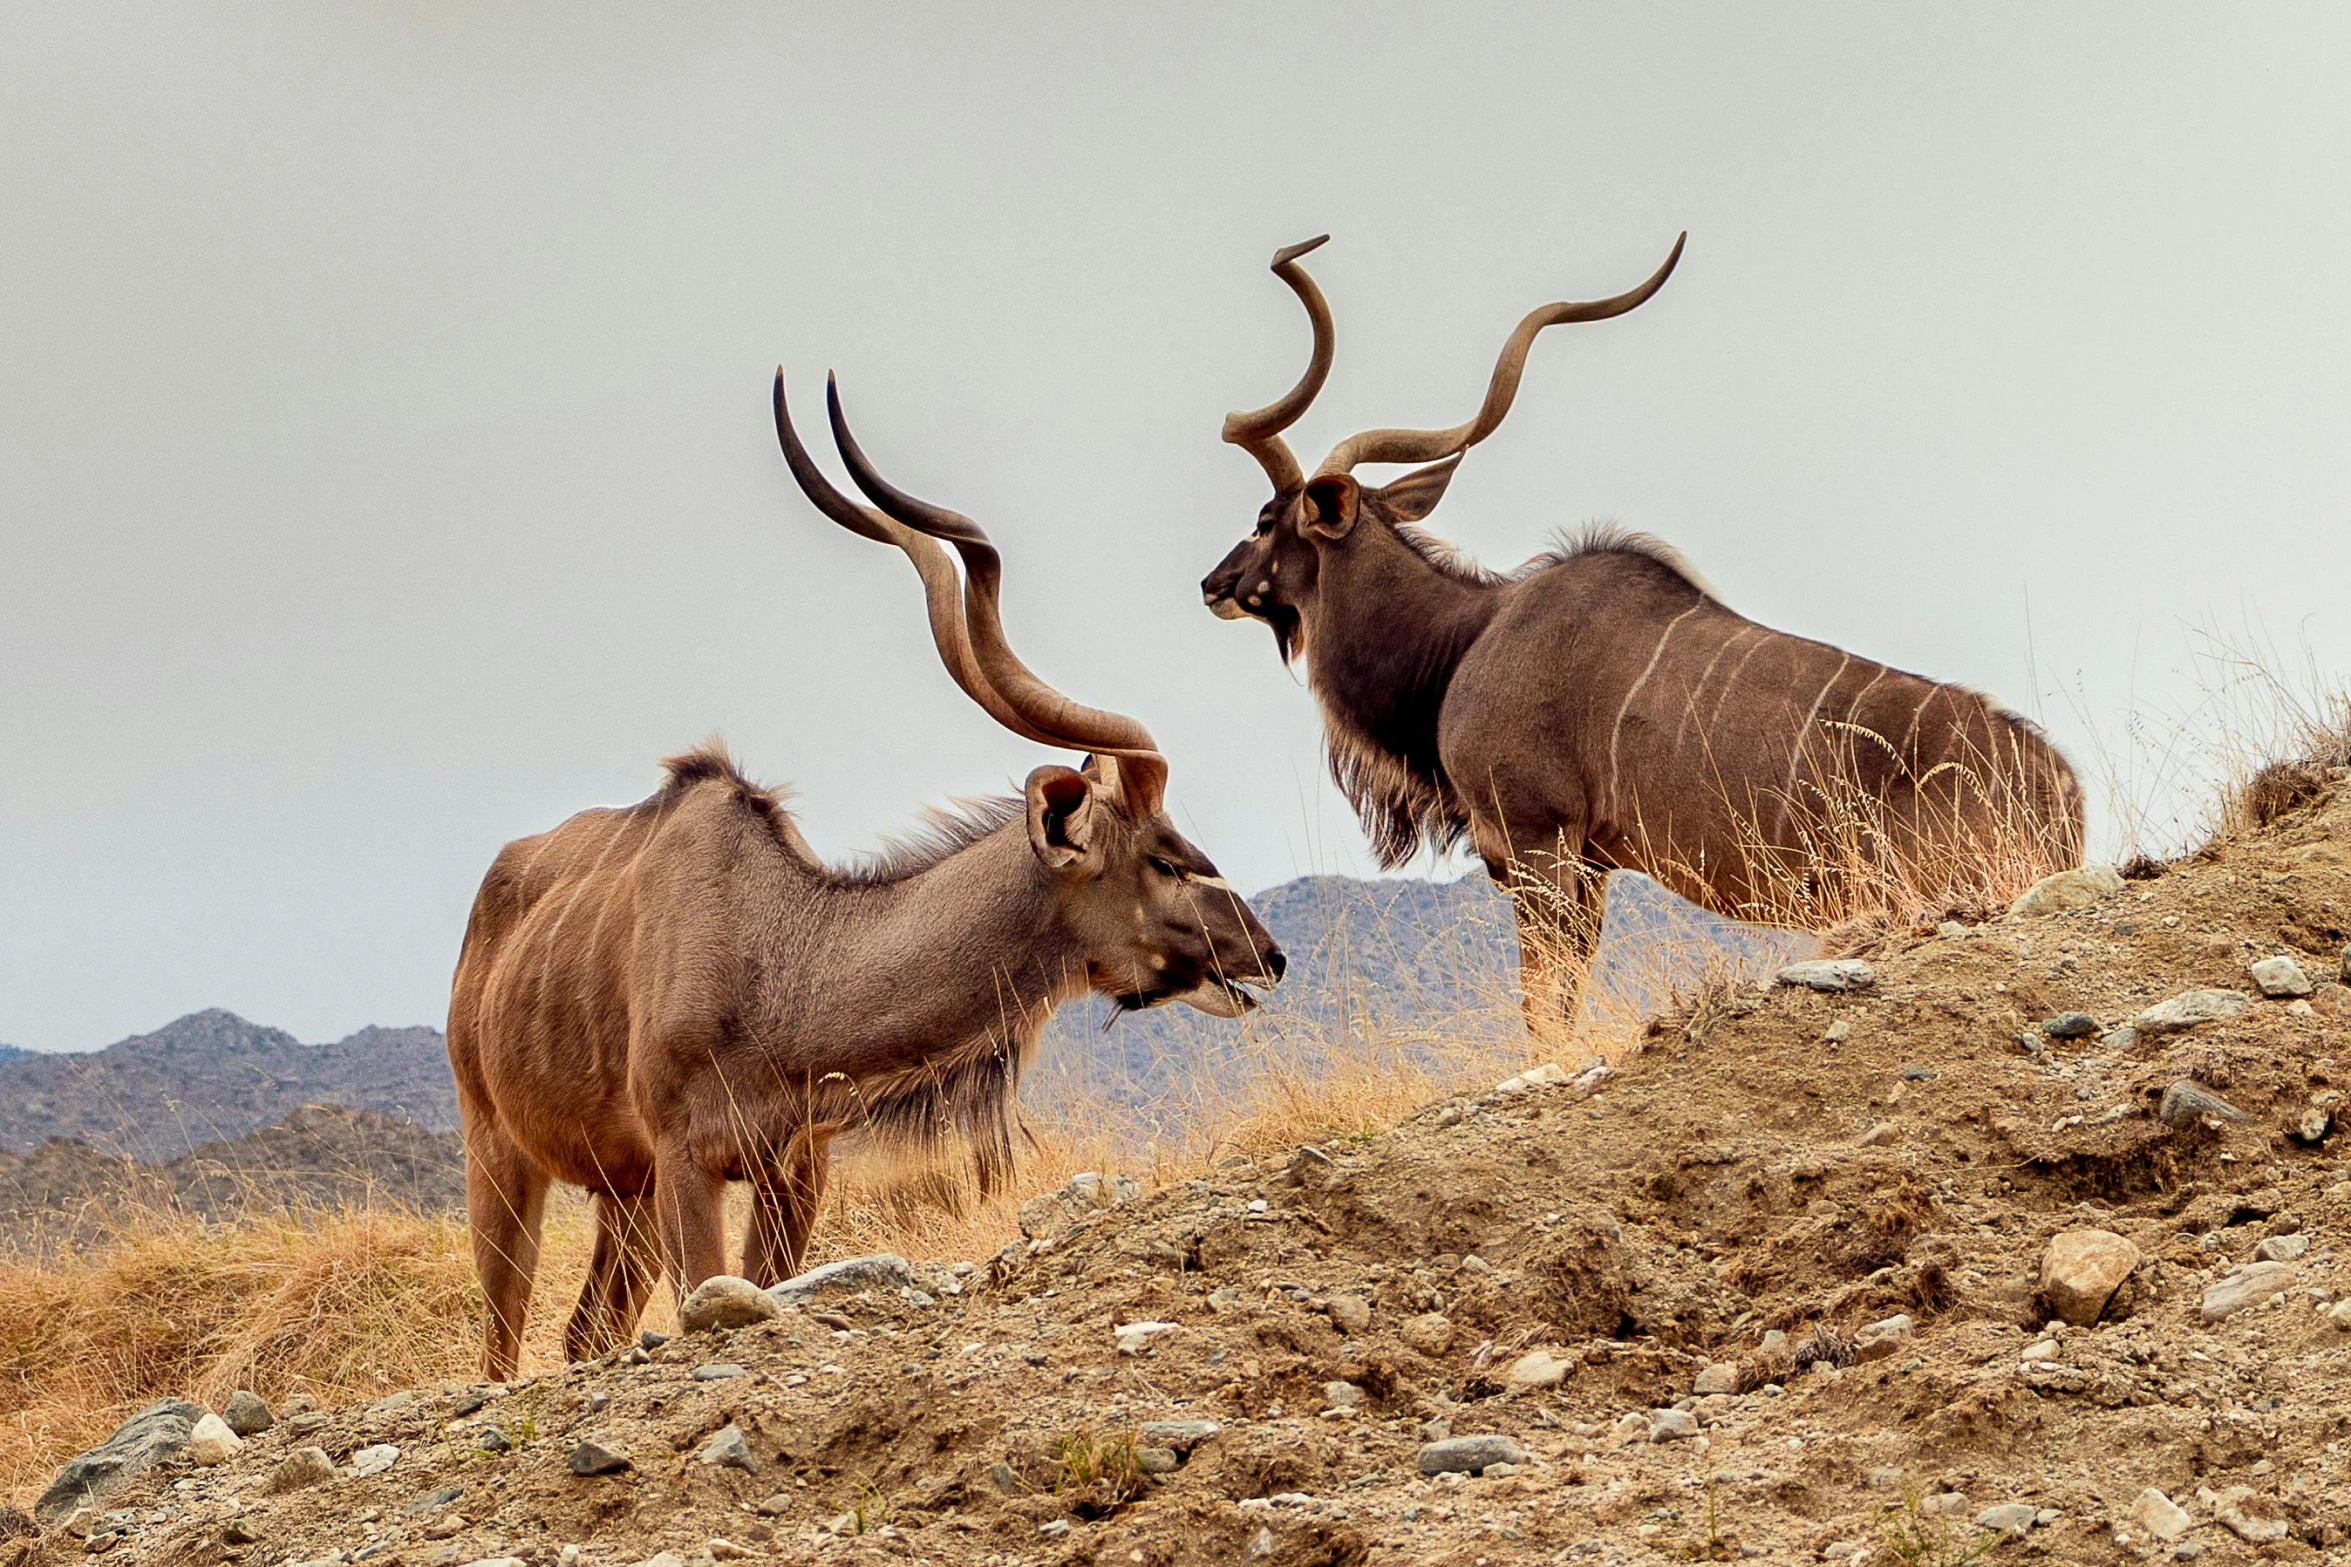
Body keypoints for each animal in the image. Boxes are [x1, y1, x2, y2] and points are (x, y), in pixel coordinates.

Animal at [446, 373, 1278, 1381]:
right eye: (1164, 855)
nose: (1267, 953)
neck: (780, 962)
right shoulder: (688, 1164)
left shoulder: (794, 1170)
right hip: (502, 1158)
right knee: (503, 1343)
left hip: (621, 1190)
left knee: (585, 1332)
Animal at [1203, 230, 2087, 1019]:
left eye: (1264, 519)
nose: (1213, 583)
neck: (1465, 639)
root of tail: (2063, 793)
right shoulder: (1588, 864)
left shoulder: (1536, 841)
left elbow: (1543, 1007)